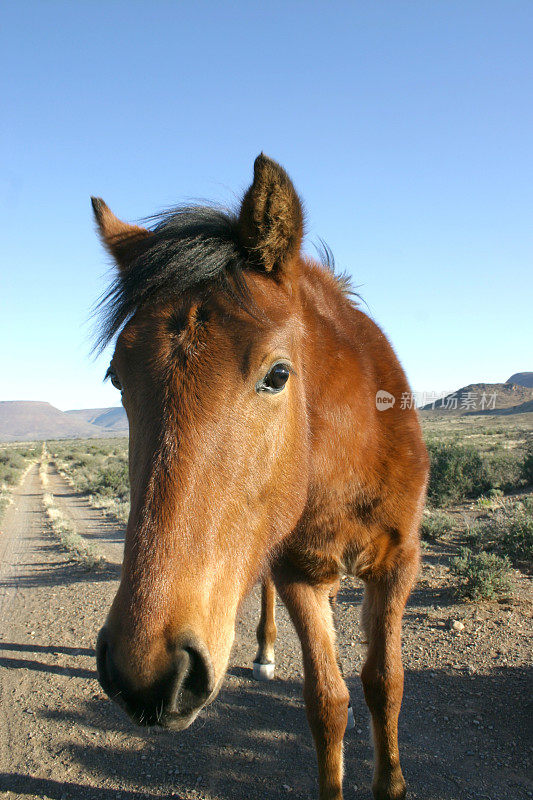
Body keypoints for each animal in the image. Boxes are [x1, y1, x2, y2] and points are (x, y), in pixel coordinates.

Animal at [91, 153, 428, 796]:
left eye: (277, 374)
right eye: (118, 378)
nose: (148, 675)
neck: (347, 464)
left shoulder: (397, 564)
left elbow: (386, 684)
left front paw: (392, 781)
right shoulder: (299, 572)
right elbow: (327, 701)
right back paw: (266, 652)